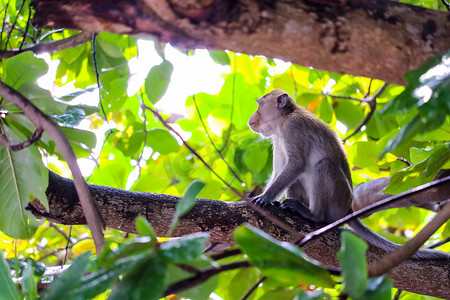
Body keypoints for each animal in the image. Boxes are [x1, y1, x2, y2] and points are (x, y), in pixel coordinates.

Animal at [250, 89, 450, 260]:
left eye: (259, 105)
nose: (251, 119)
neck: (283, 120)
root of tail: (348, 209)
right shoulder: (278, 139)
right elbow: (281, 170)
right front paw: (269, 197)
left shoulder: (293, 129)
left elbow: (296, 164)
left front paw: (265, 197)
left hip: (338, 200)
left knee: (324, 166)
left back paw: (313, 214)